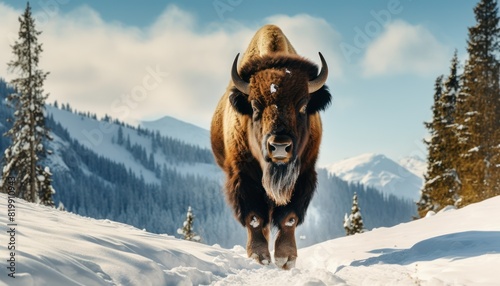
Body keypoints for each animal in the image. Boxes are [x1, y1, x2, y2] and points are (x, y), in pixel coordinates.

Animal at [209, 24, 330, 268]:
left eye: (303, 106)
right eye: (255, 106)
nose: (280, 146)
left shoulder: (303, 175)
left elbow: (289, 217)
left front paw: (285, 258)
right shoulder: (244, 176)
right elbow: (255, 217)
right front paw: (259, 256)